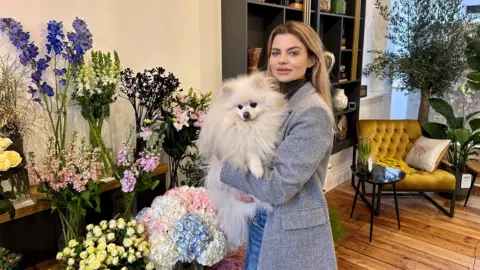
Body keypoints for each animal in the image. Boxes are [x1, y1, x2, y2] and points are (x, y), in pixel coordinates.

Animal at [197, 72, 286, 251]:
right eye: (239, 107)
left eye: (253, 104)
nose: (245, 114)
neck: (249, 126)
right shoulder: (238, 144)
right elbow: (251, 153)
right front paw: (257, 170)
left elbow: (258, 150)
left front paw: (258, 169)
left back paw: (268, 206)